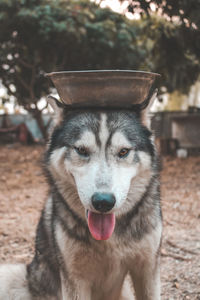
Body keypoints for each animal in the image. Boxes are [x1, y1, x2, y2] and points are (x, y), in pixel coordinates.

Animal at [0, 92, 162, 298]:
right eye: (82, 150)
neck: (109, 239)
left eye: (124, 151)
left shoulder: (147, 269)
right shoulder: (74, 278)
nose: (103, 202)